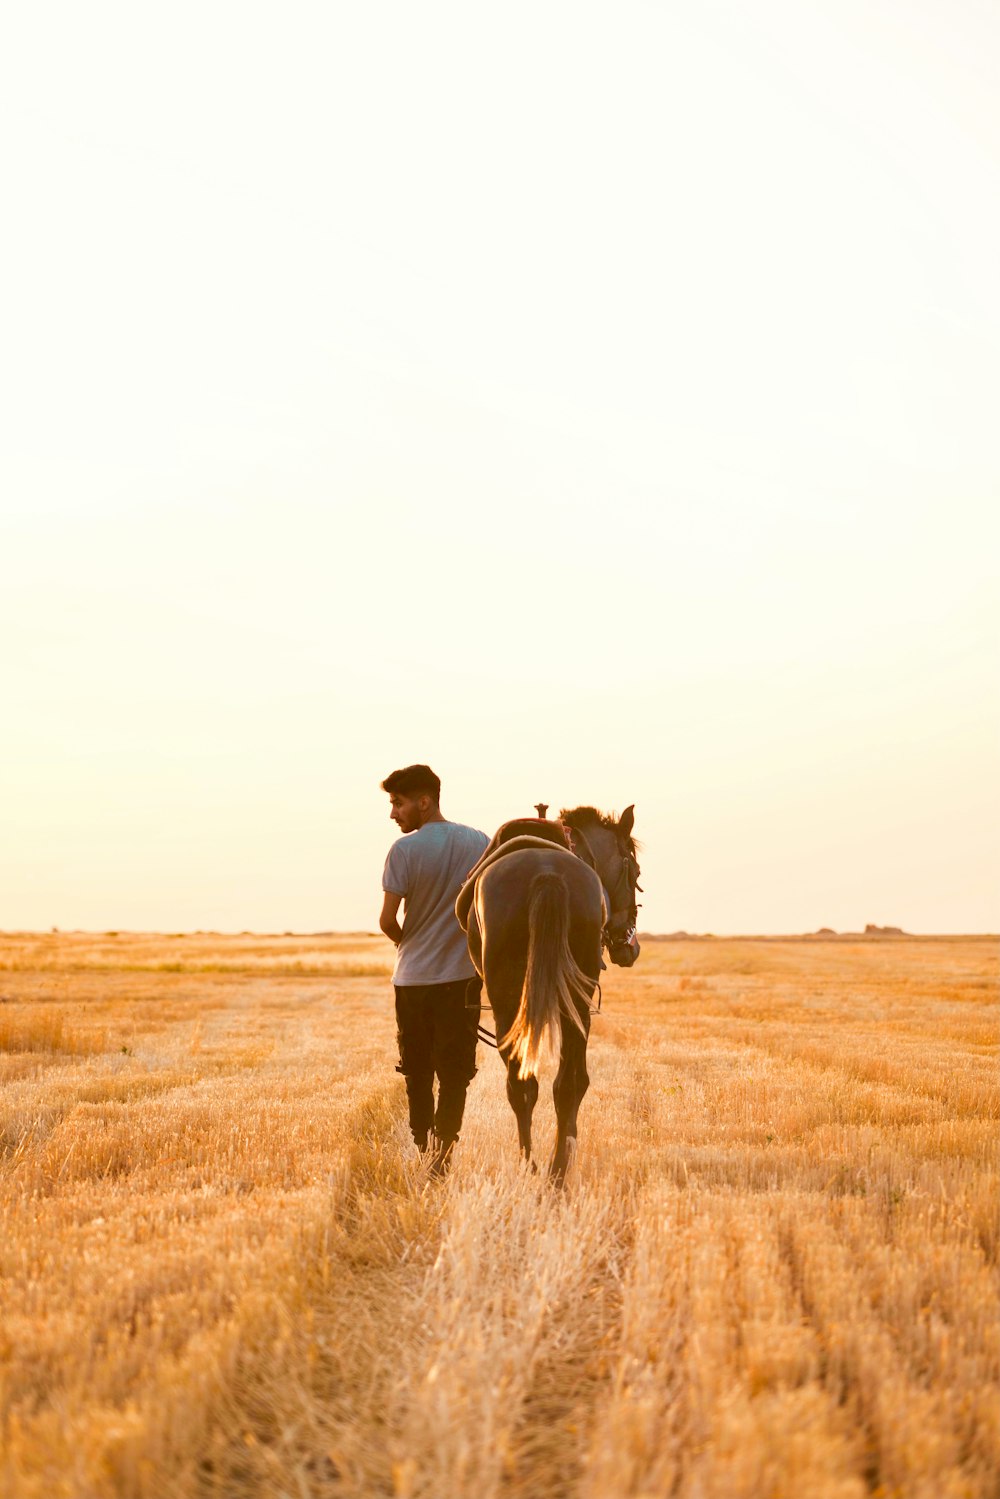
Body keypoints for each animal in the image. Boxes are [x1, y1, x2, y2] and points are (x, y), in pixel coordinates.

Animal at [455, 803, 641, 1175]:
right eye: (636, 872)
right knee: (566, 1084)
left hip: (510, 1007)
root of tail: (547, 874)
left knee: (524, 1085)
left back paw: (535, 1166)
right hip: (576, 1003)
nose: (631, 945)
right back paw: (556, 1168)